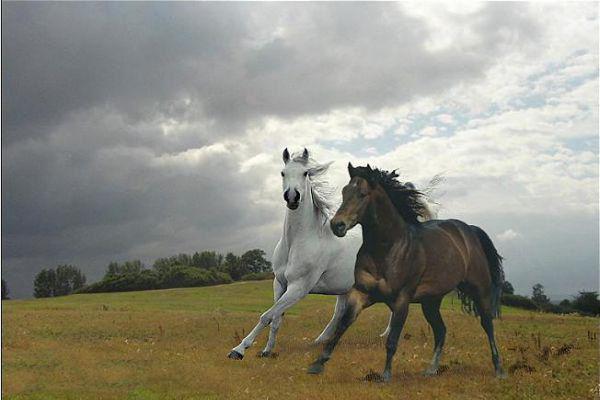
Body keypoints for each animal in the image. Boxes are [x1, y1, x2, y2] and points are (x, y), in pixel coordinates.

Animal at [310, 163, 506, 382]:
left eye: (362, 194)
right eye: (344, 192)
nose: (337, 225)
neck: (387, 248)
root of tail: (469, 230)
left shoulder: (402, 299)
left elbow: (392, 339)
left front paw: (386, 375)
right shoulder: (361, 294)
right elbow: (342, 326)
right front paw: (317, 364)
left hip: (479, 290)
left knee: (487, 325)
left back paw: (499, 370)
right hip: (431, 302)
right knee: (441, 330)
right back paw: (431, 369)